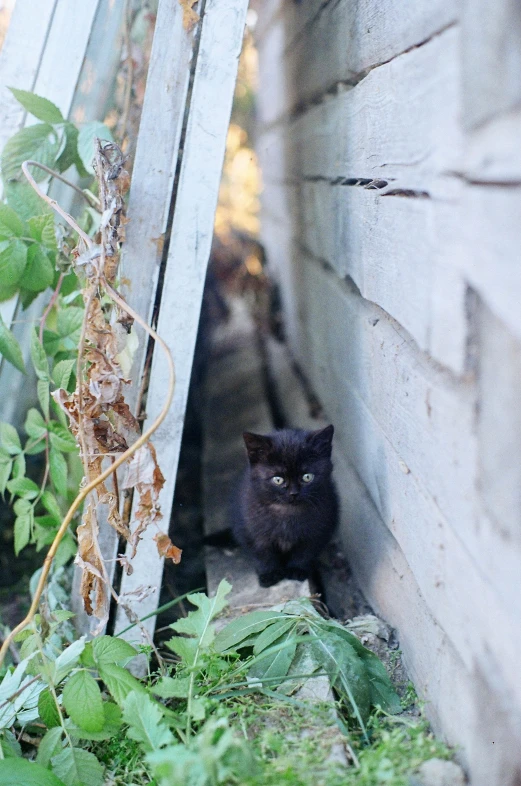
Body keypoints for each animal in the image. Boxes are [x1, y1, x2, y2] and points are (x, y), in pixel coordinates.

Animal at [232, 426, 338, 584]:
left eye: (307, 477)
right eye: (278, 479)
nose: (293, 493)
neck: (287, 512)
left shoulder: (318, 531)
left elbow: (305, 552)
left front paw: (296, 569)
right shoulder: (252, 532)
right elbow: (262, 553)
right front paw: (269, 573)